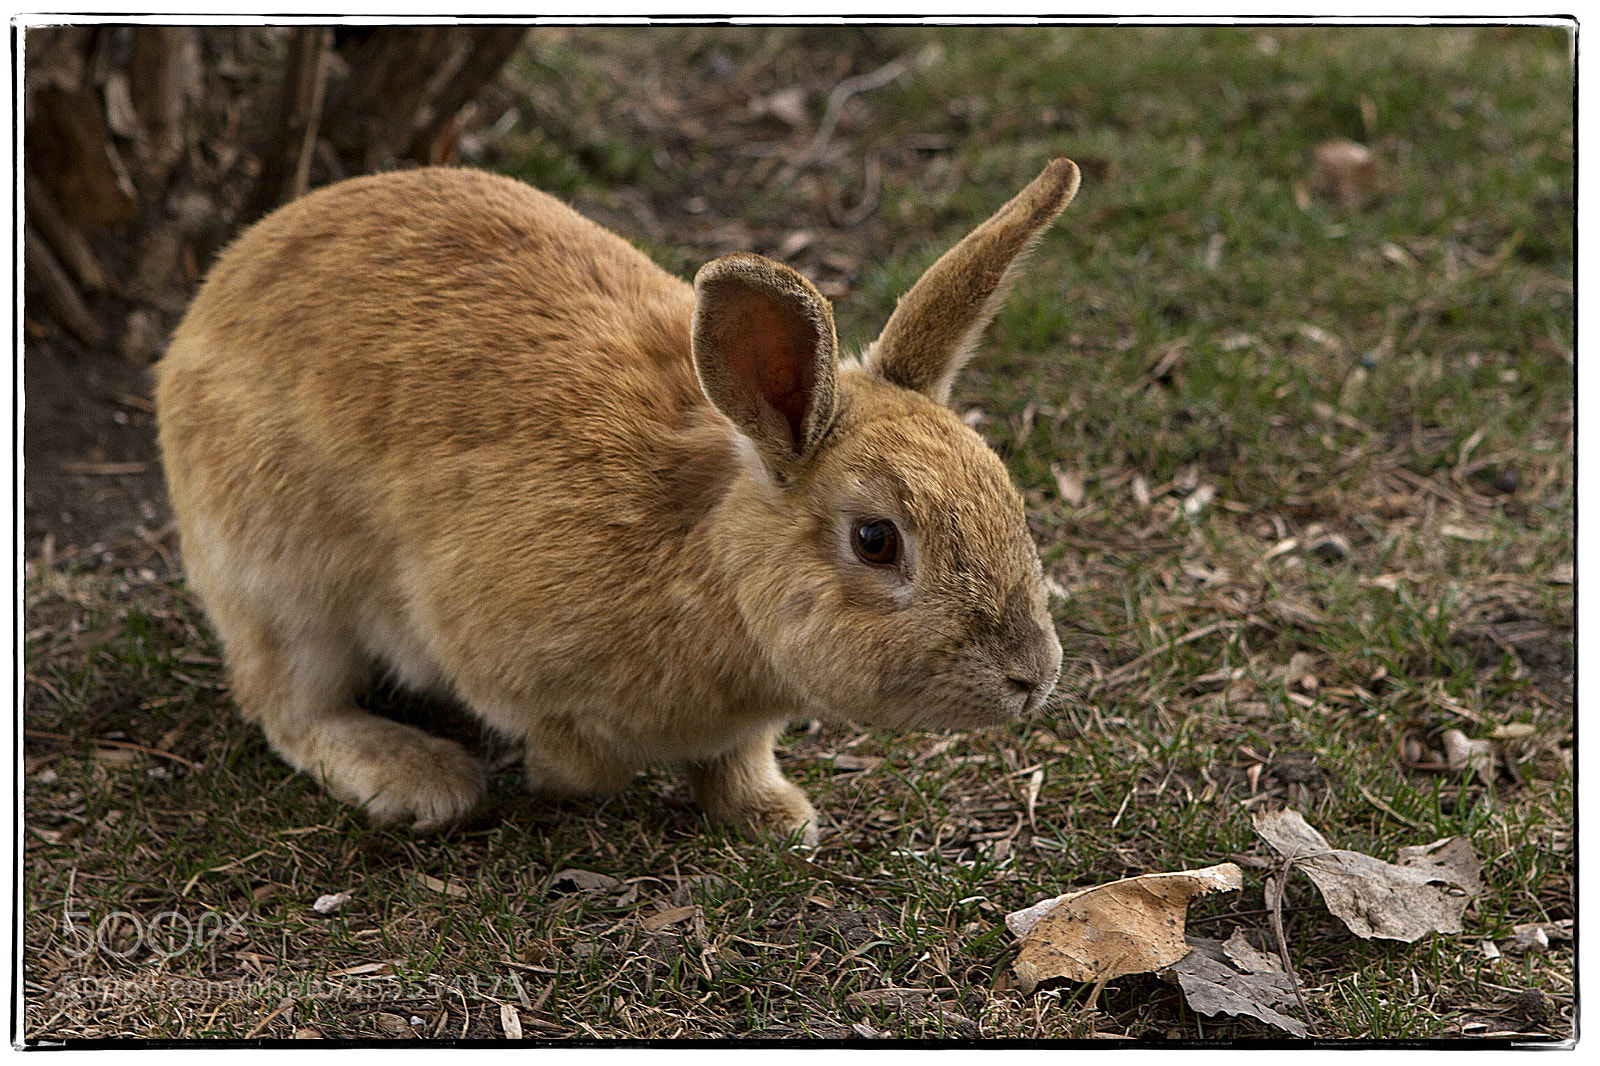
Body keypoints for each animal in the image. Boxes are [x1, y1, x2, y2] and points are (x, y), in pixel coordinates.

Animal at [154, 157, 1078, 845]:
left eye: (1004, 489)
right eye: (877, 541)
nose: (1033, 677)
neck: (708, 563)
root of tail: (212, 300)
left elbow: (738, 757)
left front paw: (772, 816)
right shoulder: (490, 643)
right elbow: (583, 758)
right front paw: (557, 781)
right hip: (281, 582)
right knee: (287, 704)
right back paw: (421, 778)